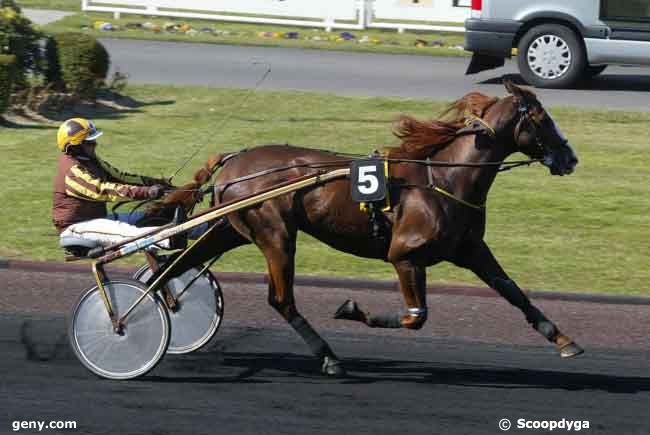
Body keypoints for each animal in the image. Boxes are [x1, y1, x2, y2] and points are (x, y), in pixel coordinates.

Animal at [153, 82, 584, 378]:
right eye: (542, 119)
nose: (570, 158)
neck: (444, 178)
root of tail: (233, 160)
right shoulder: (405, 255)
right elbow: (415, 316)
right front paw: (350, 309)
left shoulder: (471, 249)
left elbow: (513, 292)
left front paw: (564, 339)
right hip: (275, 234)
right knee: (281, 299)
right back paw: (329, 358)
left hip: (233, 227)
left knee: (174, 267)